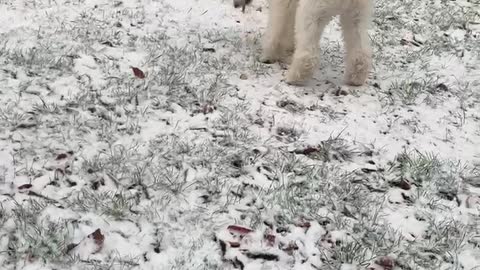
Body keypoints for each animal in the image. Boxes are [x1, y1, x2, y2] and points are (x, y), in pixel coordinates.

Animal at [234, 0, 374, 85]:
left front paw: (268, 56)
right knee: (361, 51)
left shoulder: (284, 4)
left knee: (308, 53)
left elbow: (278, 24)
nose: (236, 5)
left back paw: (294, 77)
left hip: (313, 11)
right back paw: (355, 78)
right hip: (357, 14)